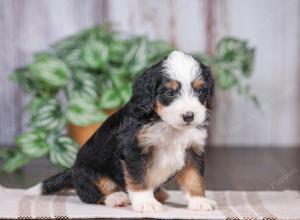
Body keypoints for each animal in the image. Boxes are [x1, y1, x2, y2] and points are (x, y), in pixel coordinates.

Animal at [38, 50, 216, 212]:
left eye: (201, 91)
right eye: (169, 92)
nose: (189, 116)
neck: (167, 125)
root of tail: (72, 171)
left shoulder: (193, 149)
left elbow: (194, 178)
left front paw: (199, 200)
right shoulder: (135, 149)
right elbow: (139, 178)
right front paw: (146, 202)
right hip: (89, 172)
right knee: (93, 194)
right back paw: (116, 198)